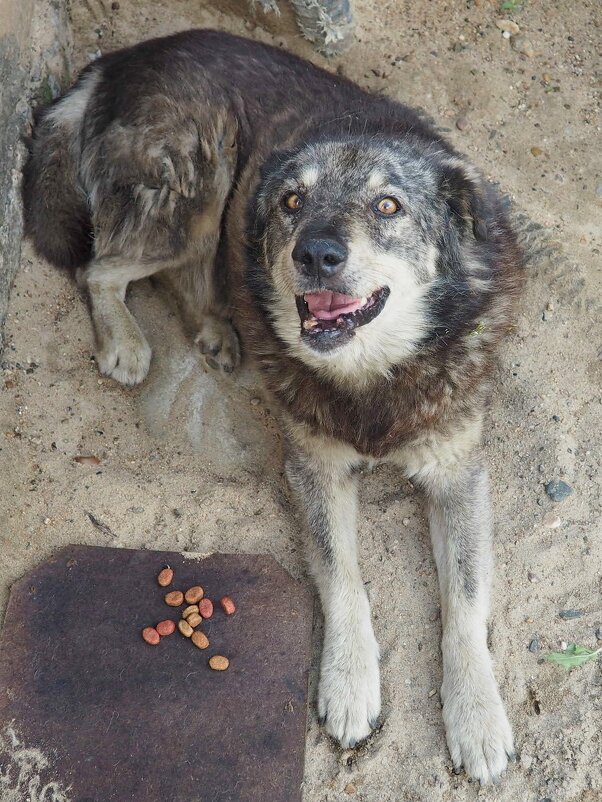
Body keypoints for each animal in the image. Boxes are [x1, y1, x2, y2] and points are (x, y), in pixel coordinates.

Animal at [23, 29, 520, 780]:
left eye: (388, 207)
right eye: (291, 202)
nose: (315, 253)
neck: (370, 375)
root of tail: (122, 59)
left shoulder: (458, 473)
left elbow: (464, 604)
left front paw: (478, 717)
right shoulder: (313, 469)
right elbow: (343, 577)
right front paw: (349, 683)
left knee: (183, 272)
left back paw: (218, 331)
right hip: (200, 186)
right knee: (104, 266)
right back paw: (128, 342)